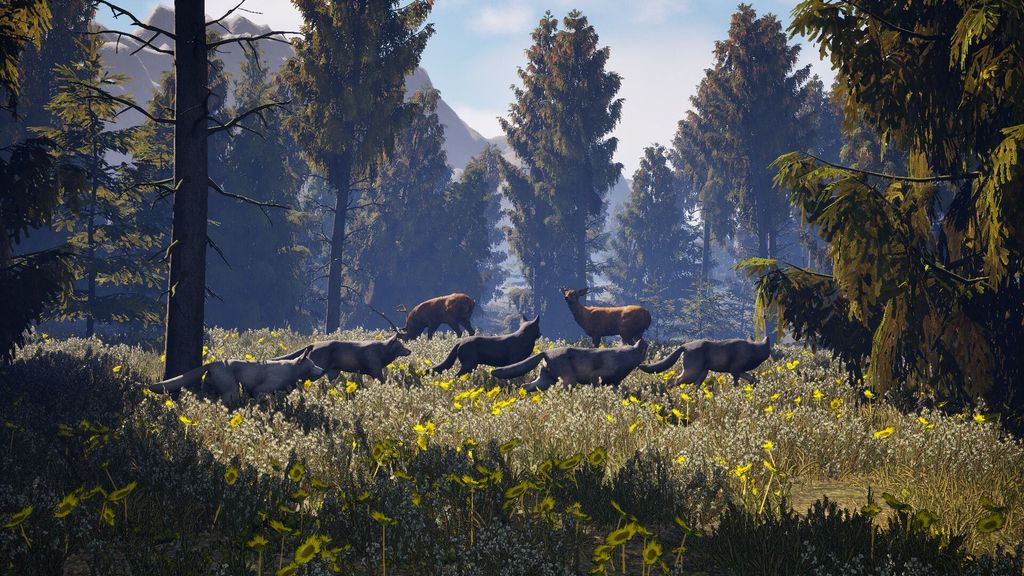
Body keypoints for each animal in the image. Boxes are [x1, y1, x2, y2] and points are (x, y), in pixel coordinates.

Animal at [148, 345, 325, 402]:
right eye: (312, 365)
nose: (323, 370)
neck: (292, 371)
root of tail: (213, 363)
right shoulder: (259, 390)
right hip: (231, 389)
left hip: (210, 388)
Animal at [271, 333, 412, 383]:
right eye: (400, 346)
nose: (409, 350)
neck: (384, 354)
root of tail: (312, 345)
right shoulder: (375, 370)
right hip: (316, 368)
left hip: (333, 371)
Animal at [490, 340, 649, 392]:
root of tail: (545, 352)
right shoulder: (595, 376)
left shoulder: (614, 382)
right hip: (568, 379)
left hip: (546, 379)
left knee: (526, 386)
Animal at [639, 336, 773, 387]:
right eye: (764, 349)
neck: (753, 349)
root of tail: (685, 346)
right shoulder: (735, 370)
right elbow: (739, 381)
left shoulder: (737, 371)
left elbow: (751, 379)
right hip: (692, 372)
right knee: (672, 381)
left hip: (702, 373)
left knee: (694, 386)